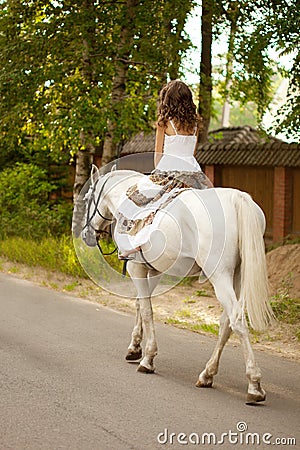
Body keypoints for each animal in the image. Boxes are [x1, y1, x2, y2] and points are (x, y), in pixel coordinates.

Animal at [80, 168, 274, 404]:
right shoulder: (153, 271)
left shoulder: (136, 267)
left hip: (220, 276)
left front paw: (148, 358)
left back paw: (254, 385)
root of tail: (238, 199)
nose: (86, 235)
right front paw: (135, 348)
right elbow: (140, 306)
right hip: (237, 277)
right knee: (226, 323)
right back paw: (207, 374)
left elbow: (146, 310)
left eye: (87, 198)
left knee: (236, 320)